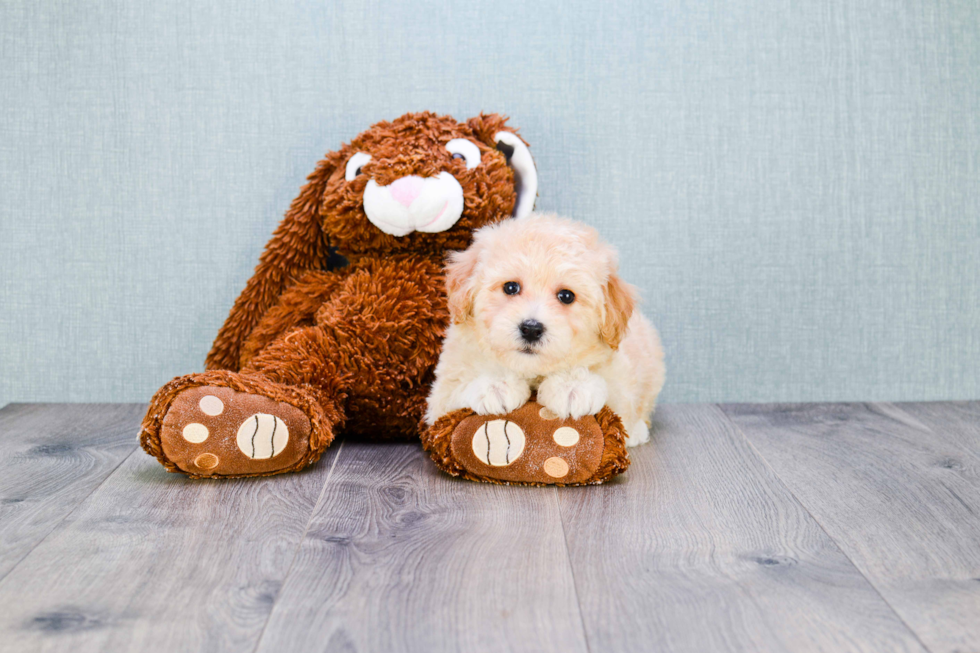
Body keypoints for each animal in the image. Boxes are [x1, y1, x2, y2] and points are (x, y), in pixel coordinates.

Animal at [426, 211, 668, 446]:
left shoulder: (621, 377)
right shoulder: (438, 400)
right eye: (511, 287)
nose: (531, 329)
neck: (532, 371)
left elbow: (616, 400)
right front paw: (495, 386)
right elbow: (454, 391)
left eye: (566, 296)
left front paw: (572, 387)